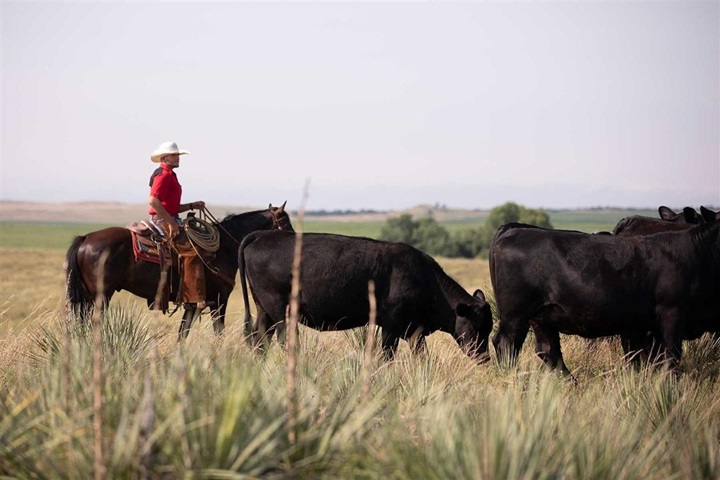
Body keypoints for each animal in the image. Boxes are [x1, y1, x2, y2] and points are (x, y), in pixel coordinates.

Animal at [64, 202, 292, 338]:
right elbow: (218, 332)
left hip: (88, 297)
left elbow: (183, 333)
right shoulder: (220, 300)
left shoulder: (194, 305)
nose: (293, 239)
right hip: (101, 296)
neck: (224, 248)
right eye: (285, 221)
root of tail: (86, 238)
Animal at [239, 231, 492, 362]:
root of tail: (263, 235)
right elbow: (386, 356)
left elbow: (421, 356)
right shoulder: (391, 325)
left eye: (488, 329)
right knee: (285, 340)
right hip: (280, 310)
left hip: (264, 310)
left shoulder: (415, 330)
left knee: (259, 340)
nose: (485, 358)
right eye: (475, 327)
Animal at [490, 221, 720, 376]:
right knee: (506, 343)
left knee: (548, 350)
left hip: (542, 316)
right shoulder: (673, 313)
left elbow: (651, 358)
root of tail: (515, 229)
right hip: (516, 314)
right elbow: (671, 357)